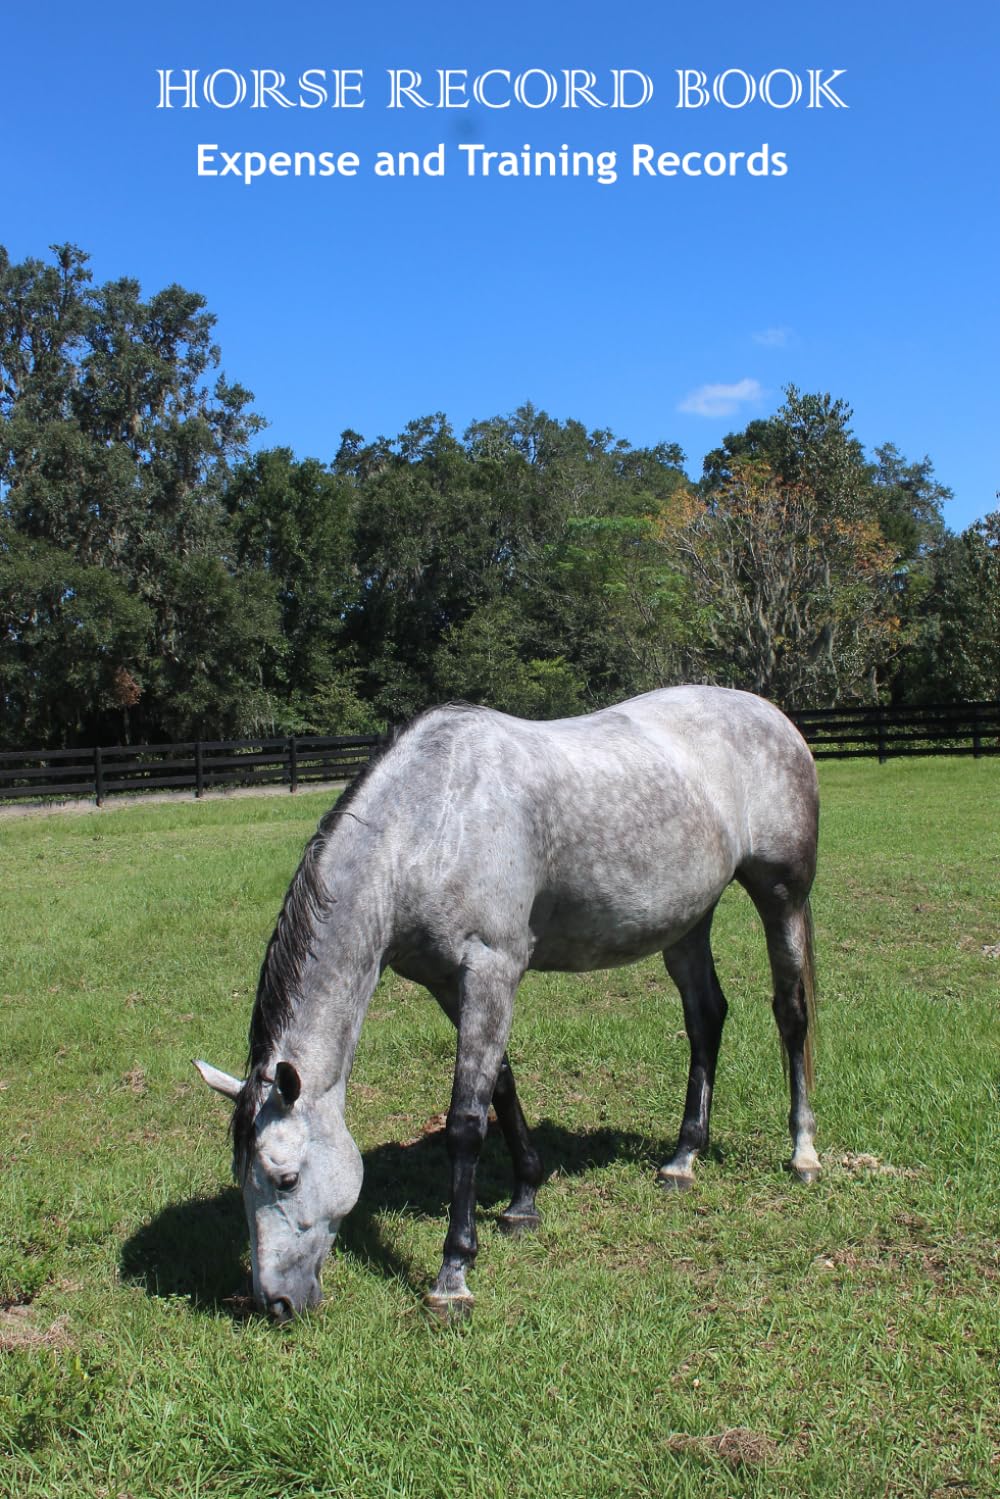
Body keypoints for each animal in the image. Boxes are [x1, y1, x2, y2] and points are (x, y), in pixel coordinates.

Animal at [195, 685, 819, 1322]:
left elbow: (466, 1122)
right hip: (688, 921)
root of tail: (771, 715)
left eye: (287, 1179)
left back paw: (803, 1153)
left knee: (790, 1012)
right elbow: (500, 1086)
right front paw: (524, 1200)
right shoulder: (449, 982)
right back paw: (682, 1158)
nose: (275, 1303)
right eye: (241, 1179)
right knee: (705, 1018)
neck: (432, 823)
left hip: (782, 896)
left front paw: (453, 1274)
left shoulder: (492, 969)